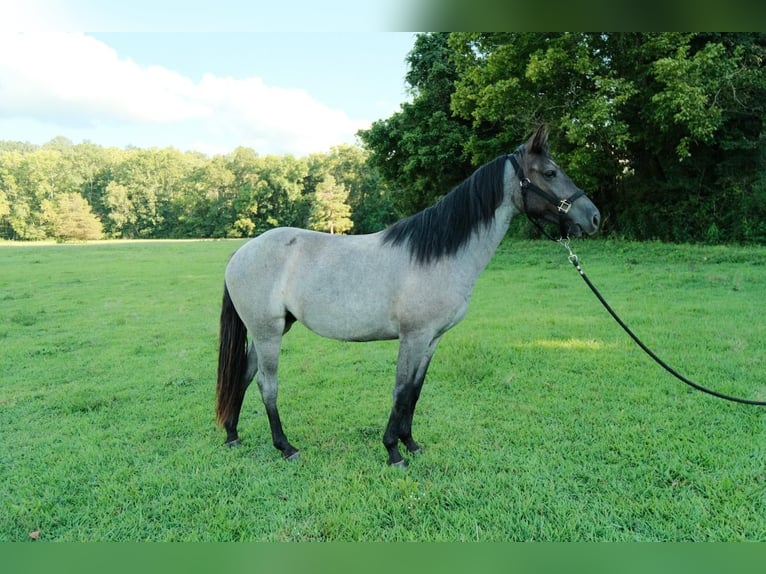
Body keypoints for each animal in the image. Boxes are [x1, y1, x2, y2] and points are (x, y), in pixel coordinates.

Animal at [216, 125, 601, 467]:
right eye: (550, 172)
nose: (594, 217)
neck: (438, 254)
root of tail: (239, 254)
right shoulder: (413, 336)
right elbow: (400, 390)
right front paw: (392, 451)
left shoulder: (431, 339)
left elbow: (415, 390)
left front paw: (411, 444)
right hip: (268, 333)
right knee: (267, 385)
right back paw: (286, 447)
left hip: (271, 331)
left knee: (244, 376)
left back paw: (233, 435)